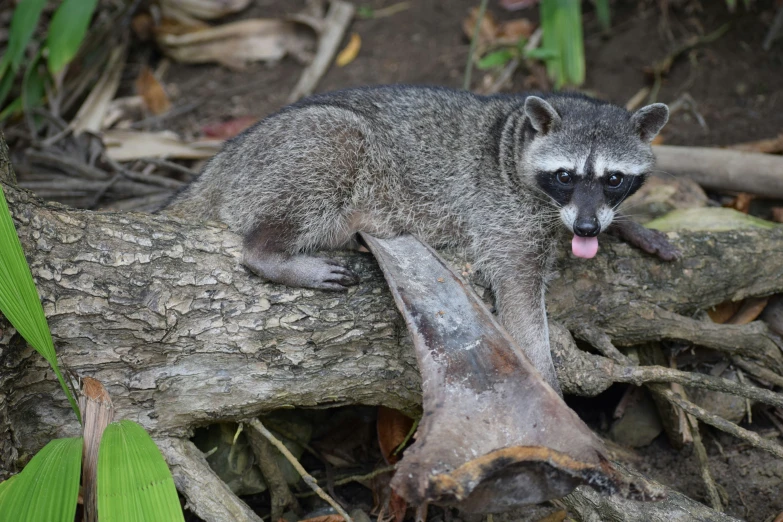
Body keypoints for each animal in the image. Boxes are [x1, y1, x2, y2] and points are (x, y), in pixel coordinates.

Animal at [170, 85, 672, 392]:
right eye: (566, 176)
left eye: (613, 179)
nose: (587, 229)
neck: (514, 135)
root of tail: (223, 162)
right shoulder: (502, 213)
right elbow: (518, 293)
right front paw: (547, 381)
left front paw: (628, 226)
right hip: (301, 151)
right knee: (336, 142)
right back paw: (271, 253)